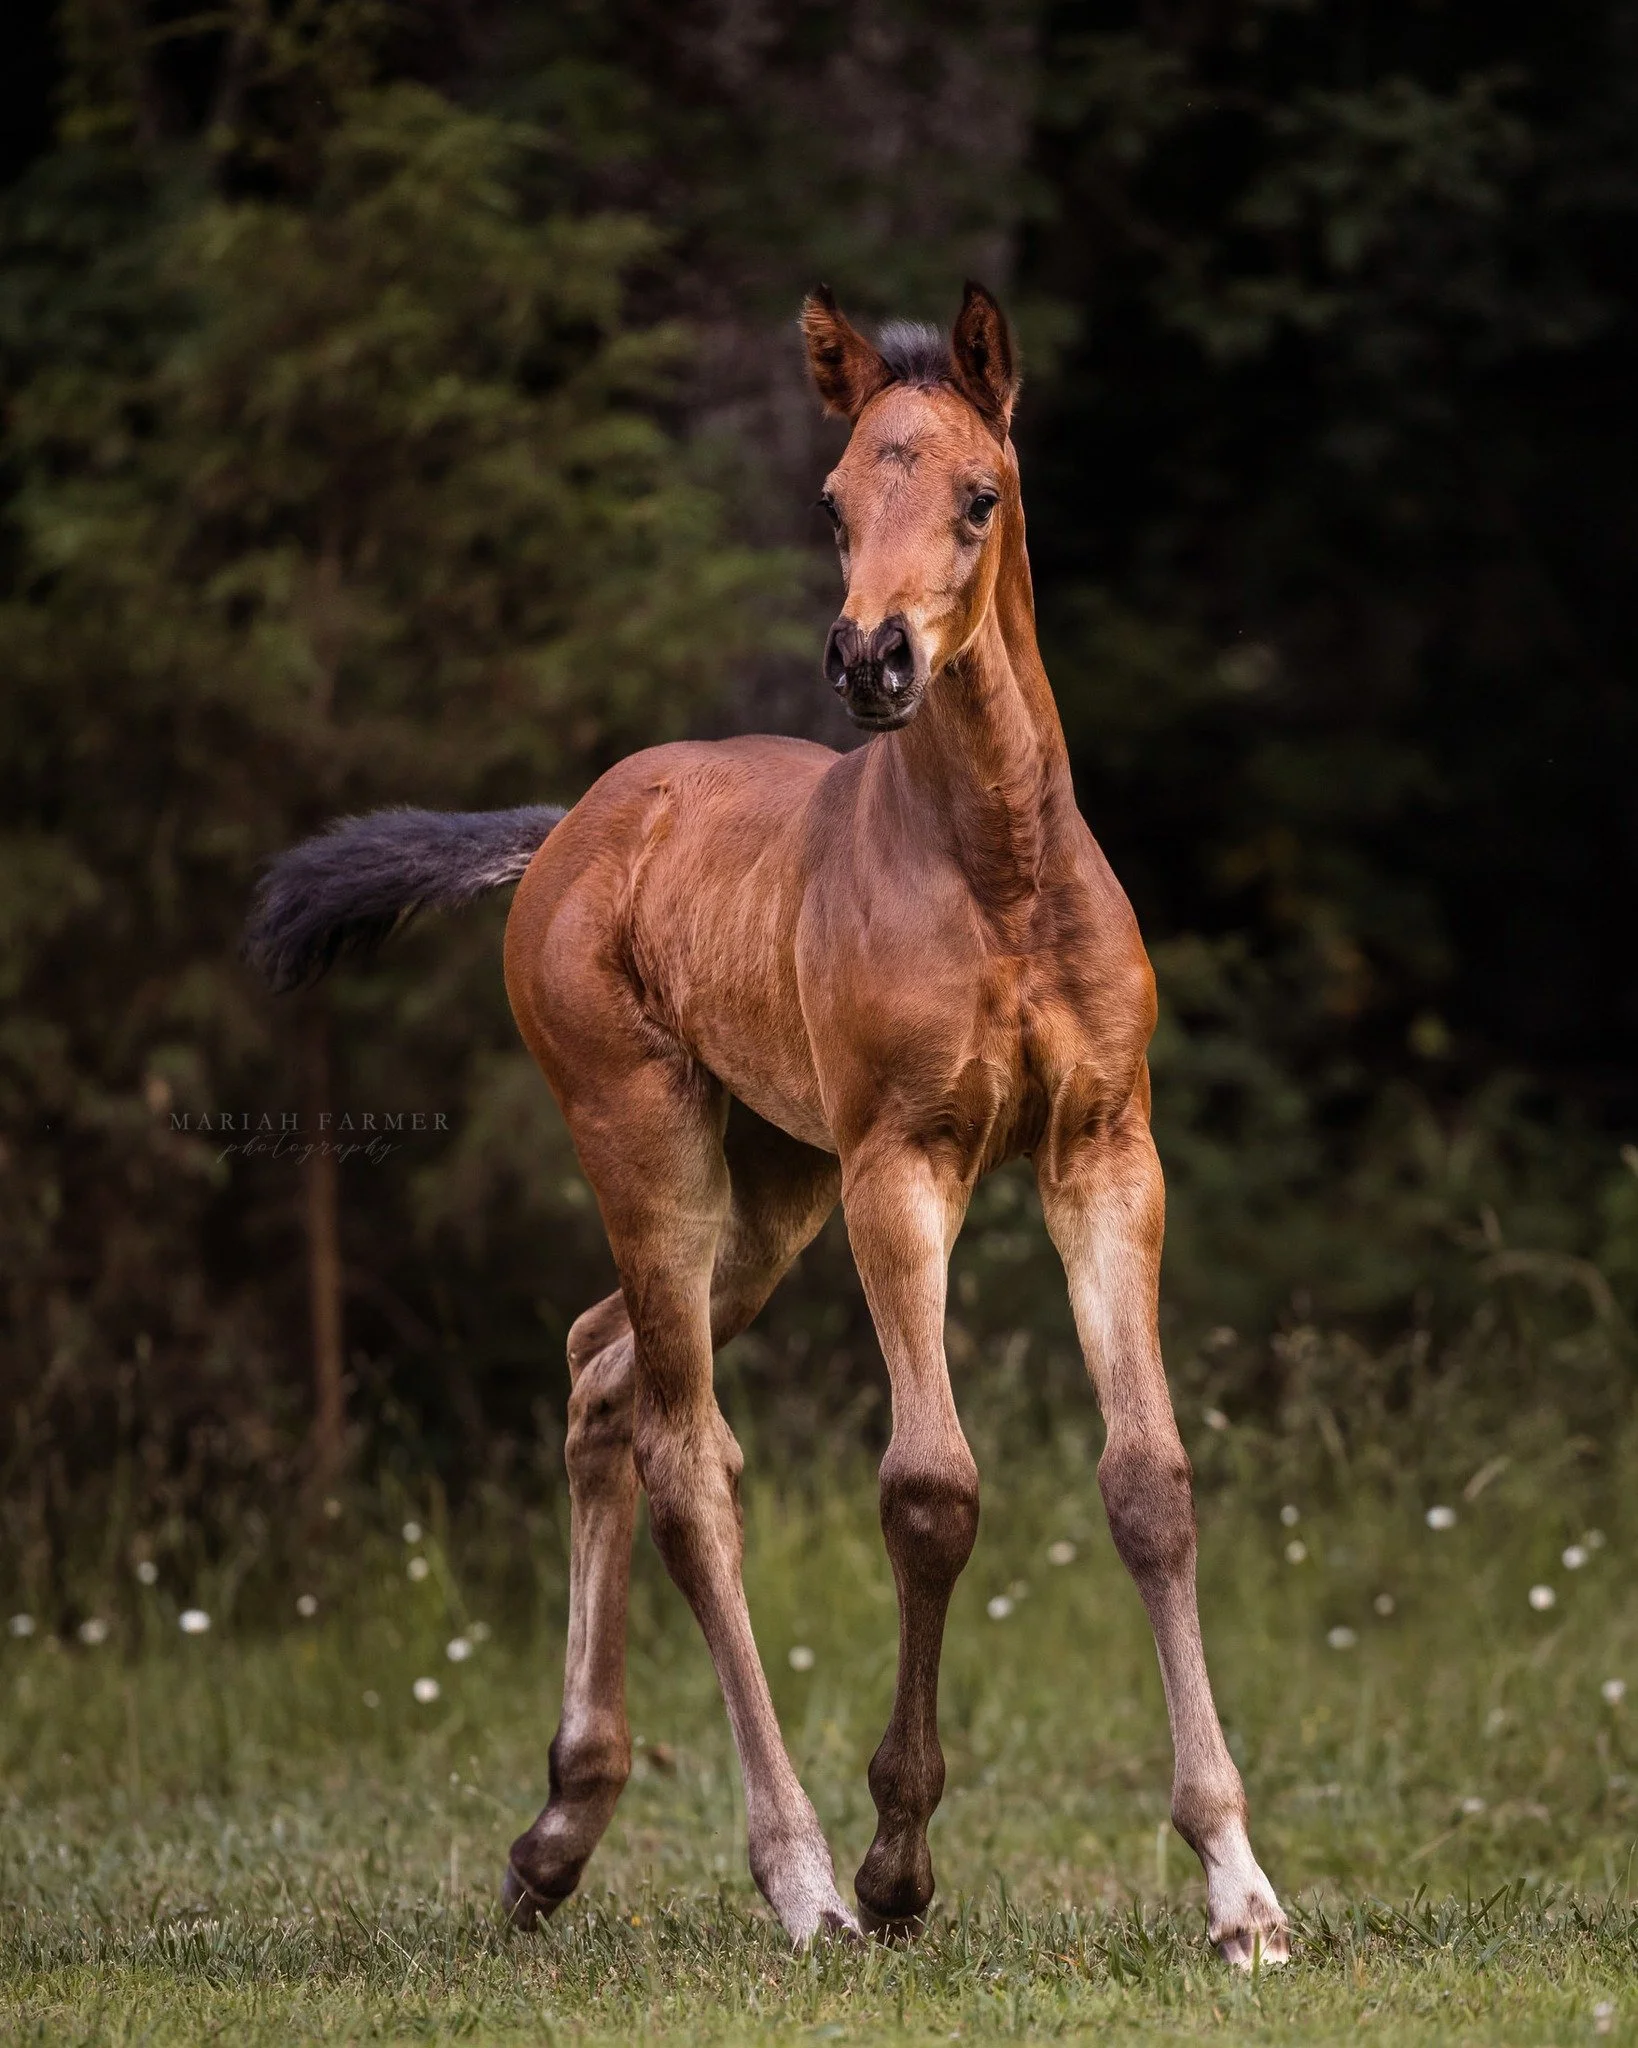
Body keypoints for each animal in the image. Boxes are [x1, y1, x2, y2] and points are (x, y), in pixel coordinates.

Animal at [246, 283, 1288, 1966]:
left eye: (977, 496)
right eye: (832, 500)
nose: (869, 656)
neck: (996, 862)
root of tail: (568, 828)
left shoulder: (1102, 1153)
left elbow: (1148, 1482)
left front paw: (1238, 1891)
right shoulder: (898, 1162)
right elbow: (929, 1489)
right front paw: (896, 1861)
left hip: (769, 1184)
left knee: (599, 1368)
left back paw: (559, 1831)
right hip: (651, 1139)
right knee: (686, 1455)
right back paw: (796, 1879)